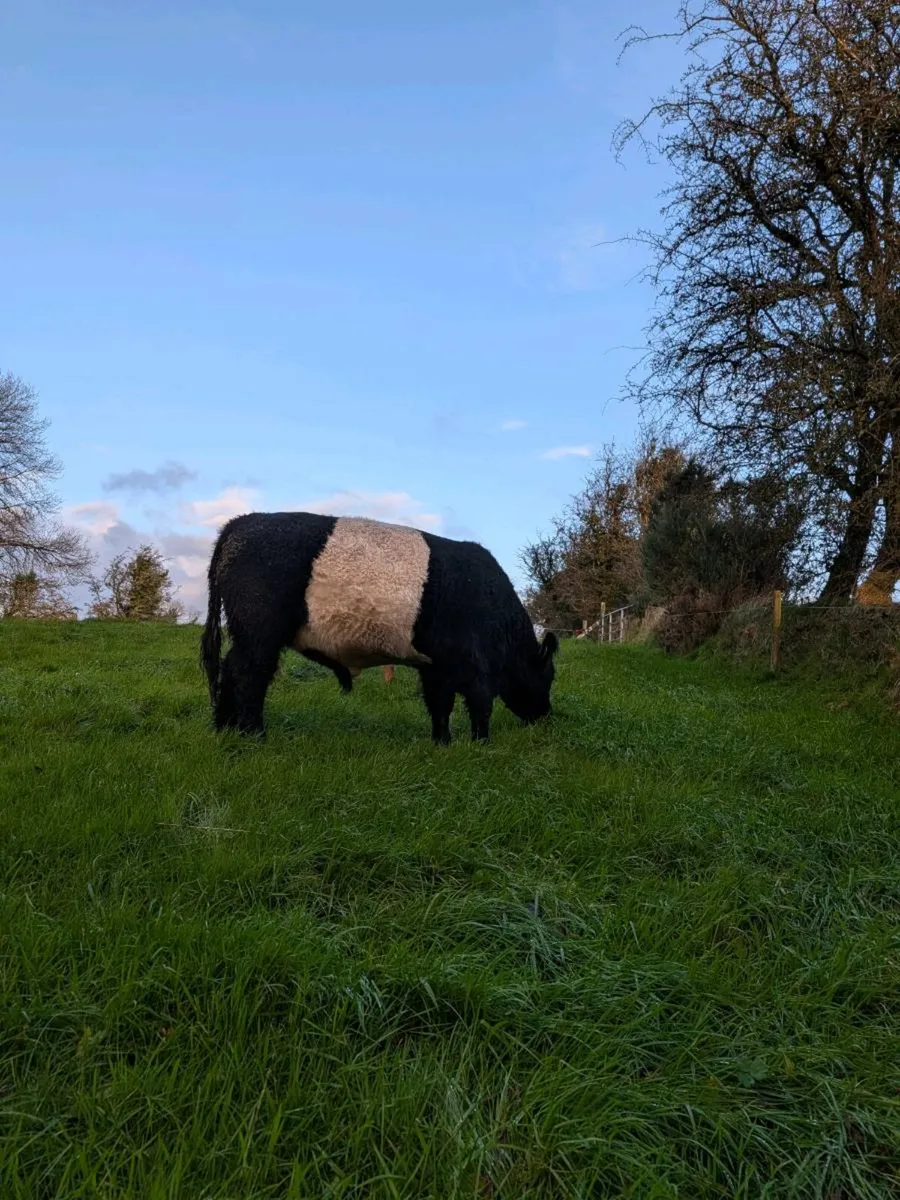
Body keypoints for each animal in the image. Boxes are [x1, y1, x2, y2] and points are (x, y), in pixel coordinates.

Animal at [200, 511, 559, 743]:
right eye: (549, 676)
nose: (545, 716)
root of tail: (238, 523)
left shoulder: (436, 666)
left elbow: (440, 705)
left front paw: (442, 743)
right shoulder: (478, 666)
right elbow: (480, 706)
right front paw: (481, 745)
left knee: (230, 670)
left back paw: (224, 728)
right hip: (259, 634)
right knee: (248, 674)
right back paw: (253, 735)